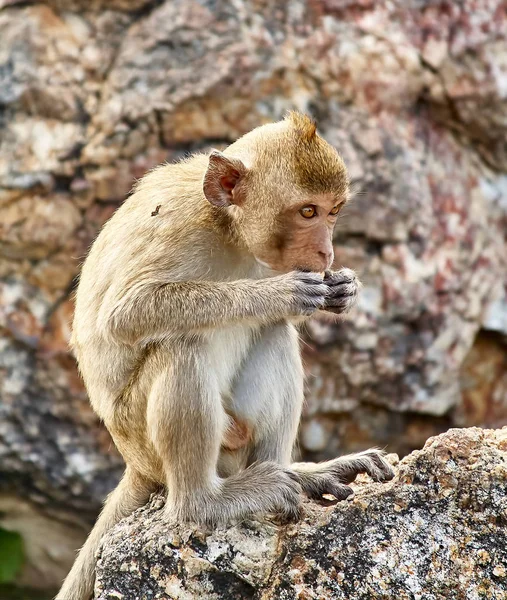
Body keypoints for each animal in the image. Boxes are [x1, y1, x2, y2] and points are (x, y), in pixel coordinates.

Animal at [57, 111, 394, 600]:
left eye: (333, 211)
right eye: (307, 211)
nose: (326, 251)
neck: (229, 227)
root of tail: (134, 462)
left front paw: (344, 287)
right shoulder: (179, 228)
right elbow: (125, 314)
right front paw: (278, 293)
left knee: (274, 333)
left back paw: (296, 474)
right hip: (140, 432)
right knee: (182, 345)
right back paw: (205, 503)